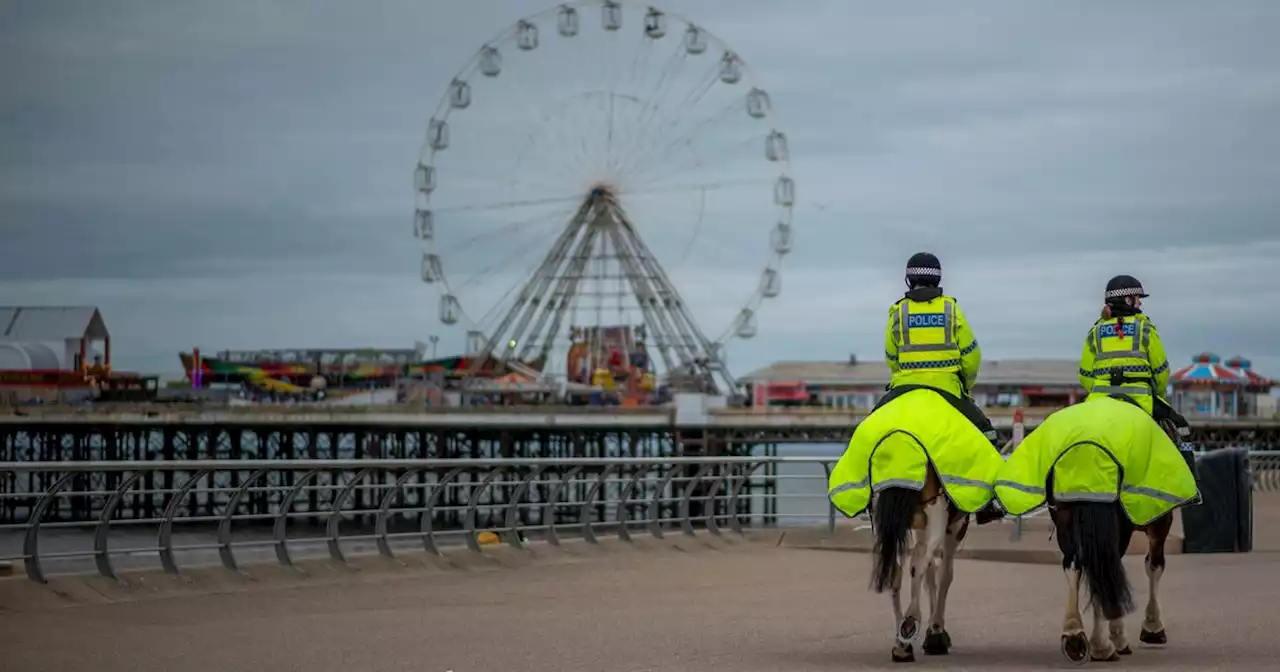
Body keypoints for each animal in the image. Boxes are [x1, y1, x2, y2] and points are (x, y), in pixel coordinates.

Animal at [875, 463, 972, 660]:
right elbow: (944, 575)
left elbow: (930, 574)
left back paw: (901, 642)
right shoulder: (954, 526)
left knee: (897, 573)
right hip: (936, 518)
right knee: (919, 565)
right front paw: (936, 631)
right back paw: (910, 624)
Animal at [1049, 417, 1177, 660]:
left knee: (1076, 565)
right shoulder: (1160, 520)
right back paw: (1104, 644)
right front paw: (1152, 626)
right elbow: (1155, 566)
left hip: (1066, 518)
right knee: (1105, 569)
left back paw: (1074, 634)